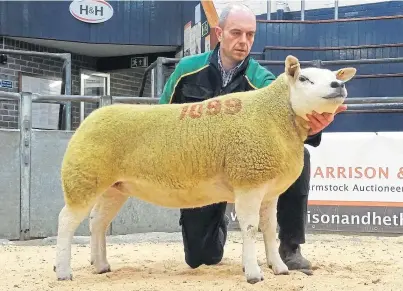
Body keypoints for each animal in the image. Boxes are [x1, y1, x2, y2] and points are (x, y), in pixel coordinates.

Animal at [52, 55, 356, 286]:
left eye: (333, 76)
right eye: (304, 79)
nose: (338, 84)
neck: (274, 115)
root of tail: (91, 117)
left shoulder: (268, 190)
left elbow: (270, 229)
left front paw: (278, 267)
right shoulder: (248, 181)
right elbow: (250, 229)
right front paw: (254, 274)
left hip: (113, 187)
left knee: (97, 222)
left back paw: (101, 265)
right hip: (83, 178)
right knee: (66, 221)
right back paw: (64, 271)